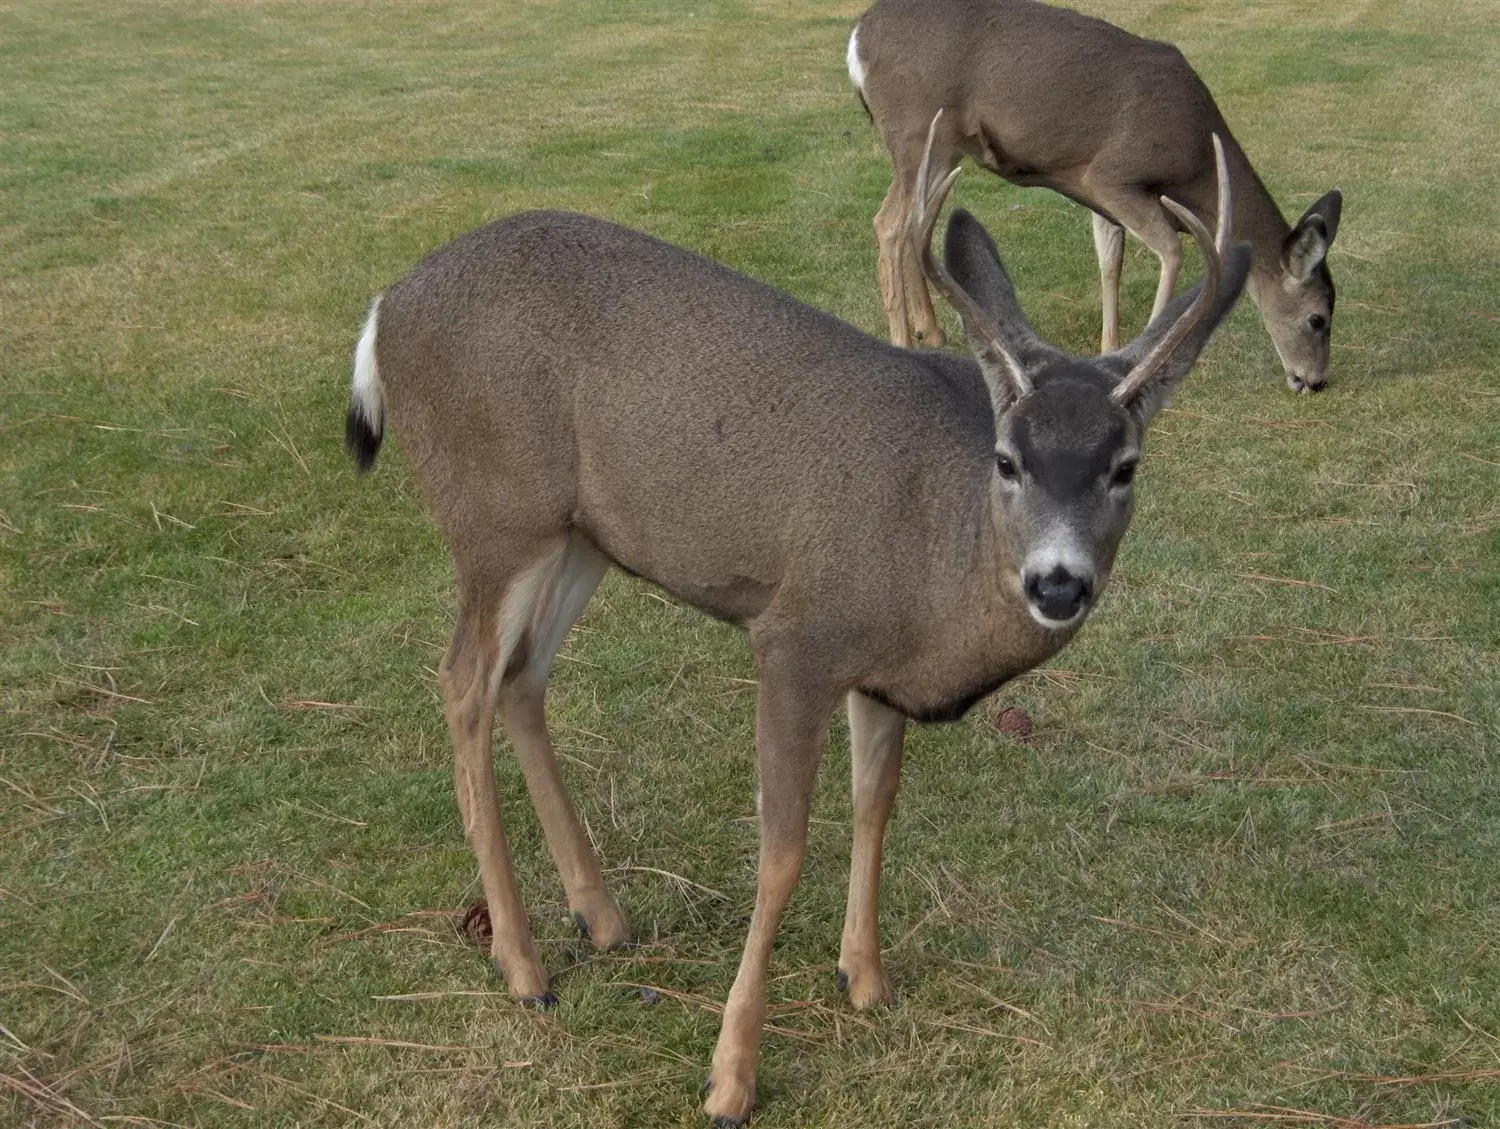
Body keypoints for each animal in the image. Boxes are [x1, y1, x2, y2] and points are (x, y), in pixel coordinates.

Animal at [345, 119, 1248, 1121]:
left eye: (1126, 465)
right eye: (1009, 459)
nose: (1057, 583)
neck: (936, 571)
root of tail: (384, 312)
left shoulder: (876, 674)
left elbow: (875, 804)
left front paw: (866, 977)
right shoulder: (796, 637)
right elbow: (780, 851)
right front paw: (730, 1073)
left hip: (583, 535)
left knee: (520, 677)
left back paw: (603, 915)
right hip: (498, 516)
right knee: (463, 680)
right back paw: (523, 965)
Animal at [846, 0, 1350, 392]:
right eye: (1318, 319)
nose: (1314, 380)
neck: (1198, 166)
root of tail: (857, 38)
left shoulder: (1098, 196)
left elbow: (1110, 263)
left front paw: (1110, 344)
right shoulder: (1113, 174)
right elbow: (1170, 250)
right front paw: (1149, 353)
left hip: (944, 148)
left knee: (915, 222)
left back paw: (931, 331)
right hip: (916, 130)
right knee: (888, 223)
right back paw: (902, 342)